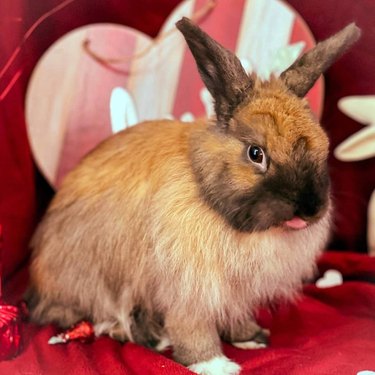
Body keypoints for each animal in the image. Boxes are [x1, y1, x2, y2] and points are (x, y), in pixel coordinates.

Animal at [26, 17, 362, 375]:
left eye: (323, 145)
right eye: (256, 153)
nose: (310, 209)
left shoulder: (233, 291)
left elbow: (234, 313)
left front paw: (250, 337)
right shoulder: (187, 287)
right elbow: (191, 327)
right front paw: (215, 364)